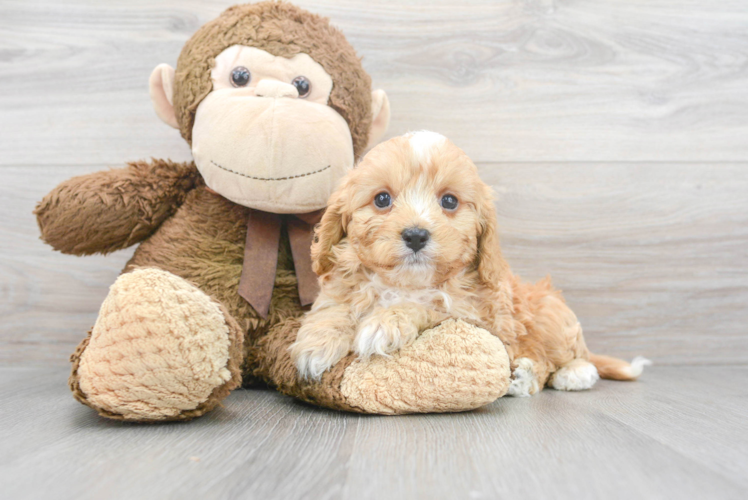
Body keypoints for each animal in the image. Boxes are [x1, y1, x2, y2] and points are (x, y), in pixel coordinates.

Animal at [290, 132, 644, 394]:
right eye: (382, 199)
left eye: (449, 201)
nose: (416, 235)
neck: (405, 283)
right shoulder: (344, 287)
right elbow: (335, 307)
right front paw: (316, 343)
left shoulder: (471, 316)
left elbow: (427, 306)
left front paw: (385, 323)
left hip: (549, 313)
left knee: (561, 359)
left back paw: (559, 375)